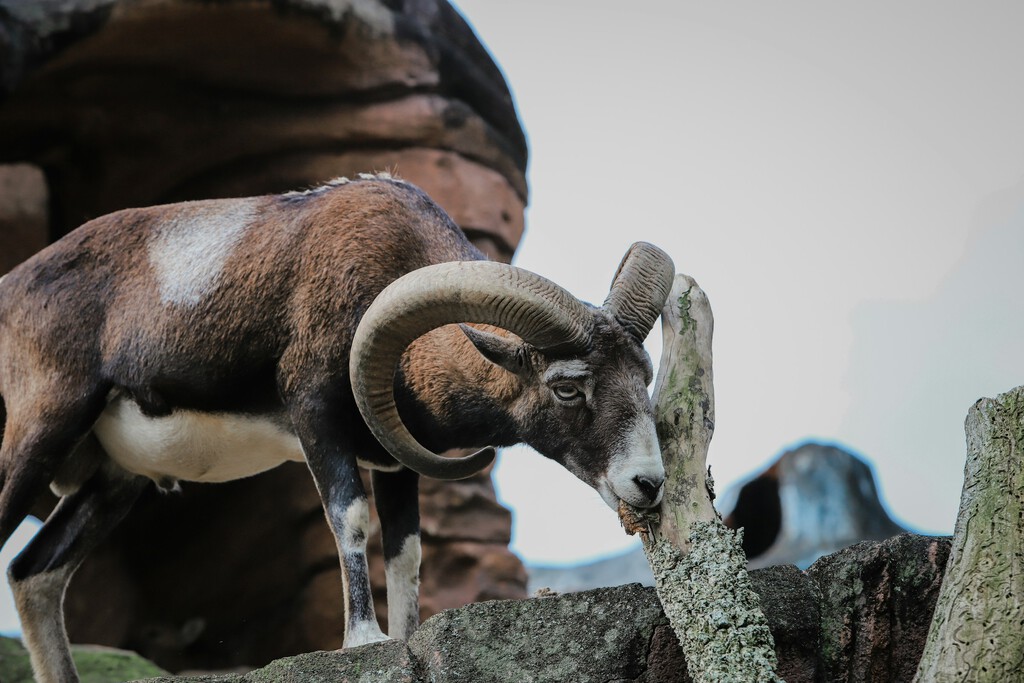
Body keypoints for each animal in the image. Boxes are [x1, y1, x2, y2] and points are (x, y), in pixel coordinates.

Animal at [0, 174, 674, 683]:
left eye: (643, 376)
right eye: (567, 386)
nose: (647, 484)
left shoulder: (399, 464)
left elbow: (406, 552)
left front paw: (401, 637)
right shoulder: (317, 422)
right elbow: (349, 518)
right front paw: (363, 640)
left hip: (114, 483)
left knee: (33, 574)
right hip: (40, 434)